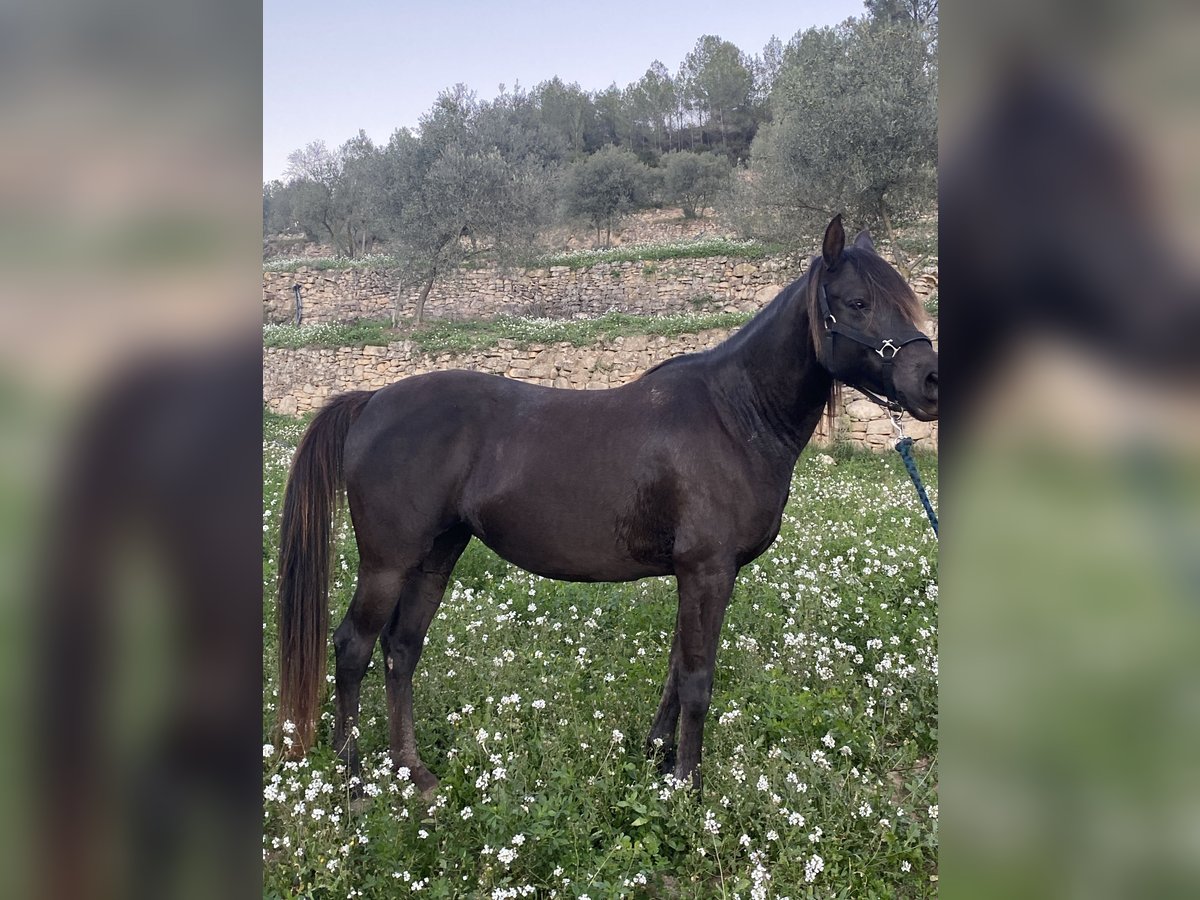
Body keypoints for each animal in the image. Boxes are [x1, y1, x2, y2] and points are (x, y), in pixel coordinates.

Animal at [278, 214, 936, 792]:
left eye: (907, 298)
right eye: (857, 302)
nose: (929, 381)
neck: (734, 414)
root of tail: (371, 400)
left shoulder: (700, 576)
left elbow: (676, 669)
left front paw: (657, 756)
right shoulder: (708, 570)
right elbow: (698, 678)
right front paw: (687, 785)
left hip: (436, 557)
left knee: (401, 651)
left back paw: (412, 773)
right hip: (386, 562)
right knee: (354, 649)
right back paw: (355, 781)